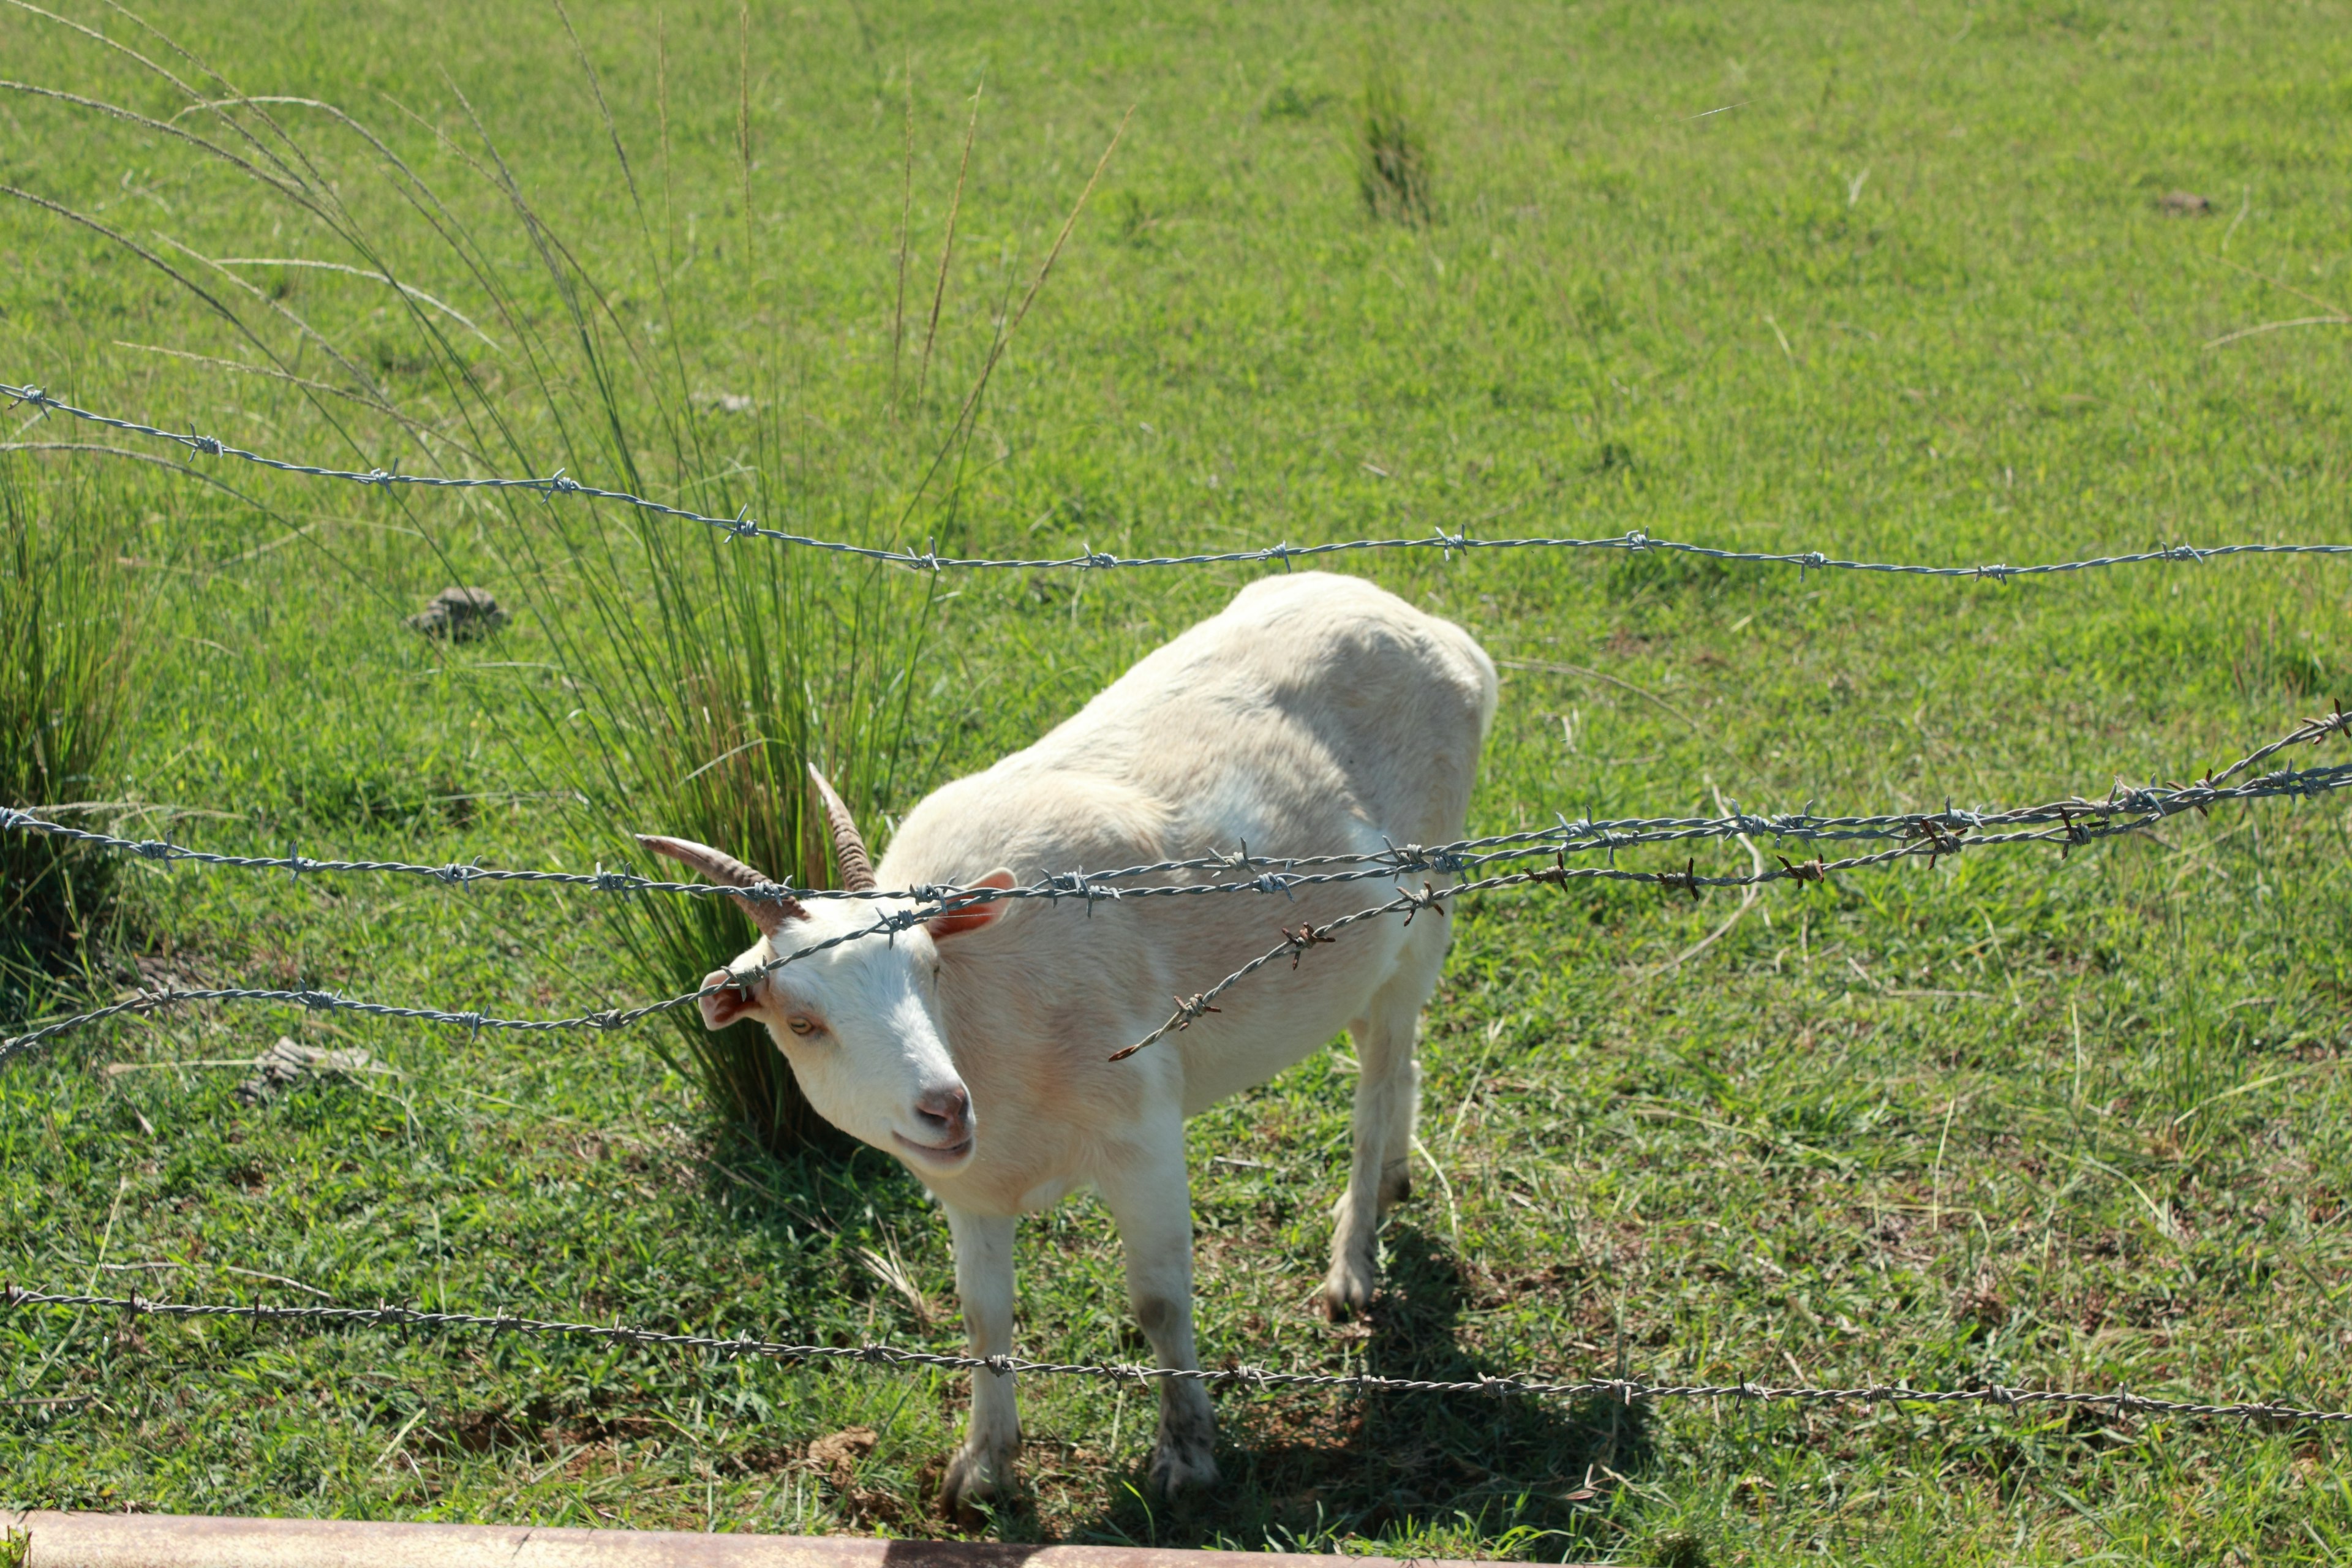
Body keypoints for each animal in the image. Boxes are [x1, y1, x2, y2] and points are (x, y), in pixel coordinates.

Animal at [644, 571, 1486, 1504]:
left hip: (1426, 908)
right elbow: (984, 1317)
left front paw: (1186, 1457)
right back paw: (1396, 1186)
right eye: (802, 1021)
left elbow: (1158, 1301)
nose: (945, 1109)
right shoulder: (970, 1187)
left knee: (1380, 1071)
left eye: (927, 970)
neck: (989, 1030)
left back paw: (1353, 1265)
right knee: (1396, 1057)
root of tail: (1435, 631)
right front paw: (982, 1468)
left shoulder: (1142, 1132)